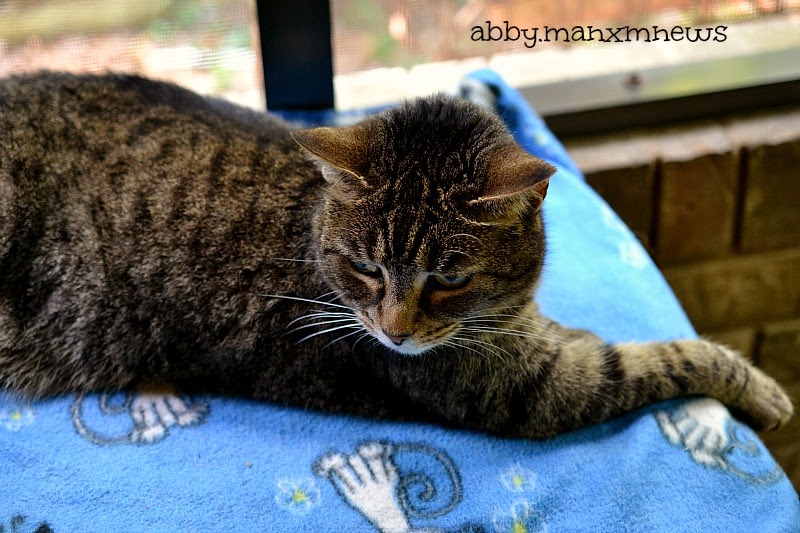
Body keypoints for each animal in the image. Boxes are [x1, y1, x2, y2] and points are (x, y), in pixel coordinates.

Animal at [0, 71, 792, 438]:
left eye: (449, 277)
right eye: (366, 267)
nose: (395, 331)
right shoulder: (534, 387)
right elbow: (670, 357)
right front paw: (763, 390)